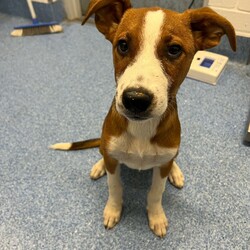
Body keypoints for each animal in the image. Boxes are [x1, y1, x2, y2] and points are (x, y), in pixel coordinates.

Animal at [51, 0, 236, 237]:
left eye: (174, 50)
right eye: (122, 45)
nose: (136, 100)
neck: (142, 129)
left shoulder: (162, 167)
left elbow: (156, 192)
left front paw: (156, 216)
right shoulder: (114, 162)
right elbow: (115, 187)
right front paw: (113, 210)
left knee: (171, 160)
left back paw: (175, 172)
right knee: (104, 152)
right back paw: (99, 165)